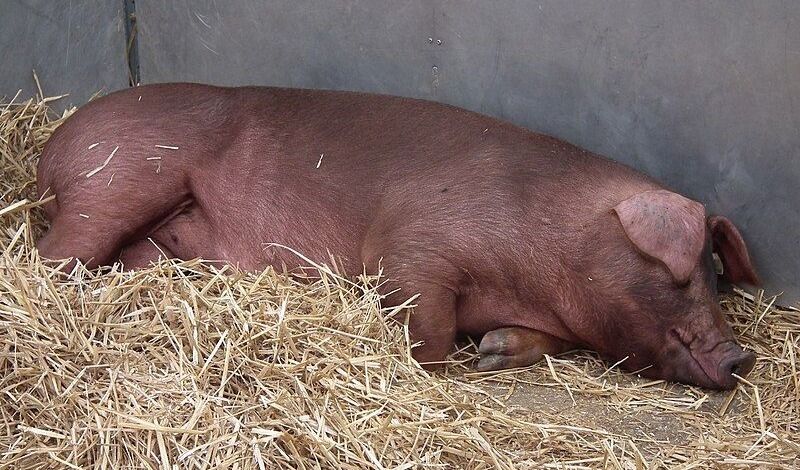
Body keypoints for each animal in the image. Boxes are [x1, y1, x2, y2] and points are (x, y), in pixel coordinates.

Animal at [35, 83, 759, 390]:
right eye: (685, 273)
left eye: (718, 275)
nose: (742, 358)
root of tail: (52, 145)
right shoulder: (413, 247)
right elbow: (428, 326)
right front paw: (444, 364)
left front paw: (492, 352)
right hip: (122, 176)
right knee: (56, 254)